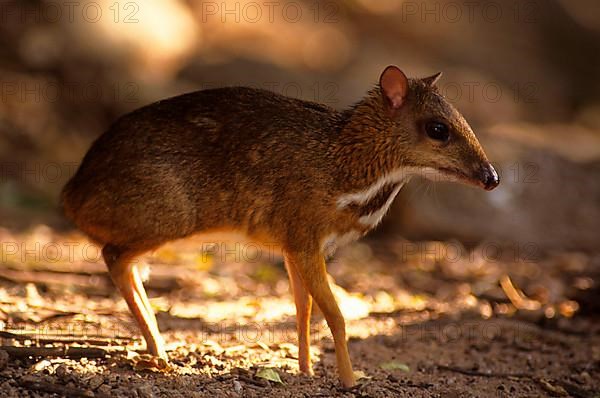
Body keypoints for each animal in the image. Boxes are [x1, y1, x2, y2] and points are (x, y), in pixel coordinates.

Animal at [62, 64, 502, 386]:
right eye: (438, 129)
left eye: (461, 118)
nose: (491, 177)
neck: (344, 170)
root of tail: (72, 191)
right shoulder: (305, 237)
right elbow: (336, 315)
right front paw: (350, 381)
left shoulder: (293, 246)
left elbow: (302, 309)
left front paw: (305, 371)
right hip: (165, 218)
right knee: (114, 256)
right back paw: (159, 351)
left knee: (129, 267)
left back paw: (157, 346)